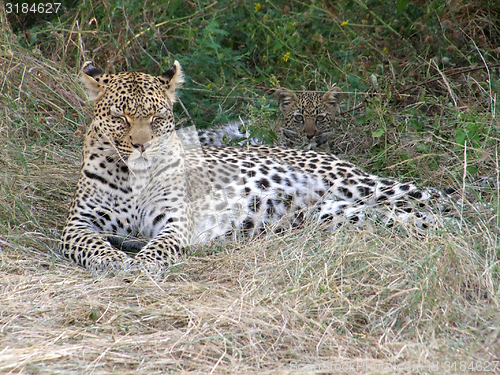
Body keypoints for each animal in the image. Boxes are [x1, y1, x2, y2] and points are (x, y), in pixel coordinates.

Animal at [60, 61, 448, 274]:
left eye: (157, 117)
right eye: (120, 117)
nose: (143, 145)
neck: (135, 177)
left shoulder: (174, 222)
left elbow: (160, 247)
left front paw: (140, 263)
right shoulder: (77, 224)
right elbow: (92, 244)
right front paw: (113, 259)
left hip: (355, 184)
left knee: (430, 195)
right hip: (334, 213)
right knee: (398, 215)